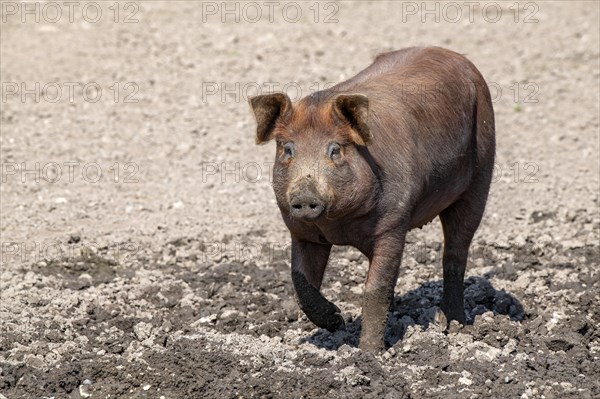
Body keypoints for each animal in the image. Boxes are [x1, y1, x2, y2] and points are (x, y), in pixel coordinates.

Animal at [248, 47, 496, 354]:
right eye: (288, 149)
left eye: (335, 150)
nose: (305, 195)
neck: (339, 226)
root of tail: (456, 56)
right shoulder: (300, 230)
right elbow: (300, 282)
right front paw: (337, 321)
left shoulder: (393, 224)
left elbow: (376, 288)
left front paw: (368, 353)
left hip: (482, 171)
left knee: (455, 252)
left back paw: (452, 324)